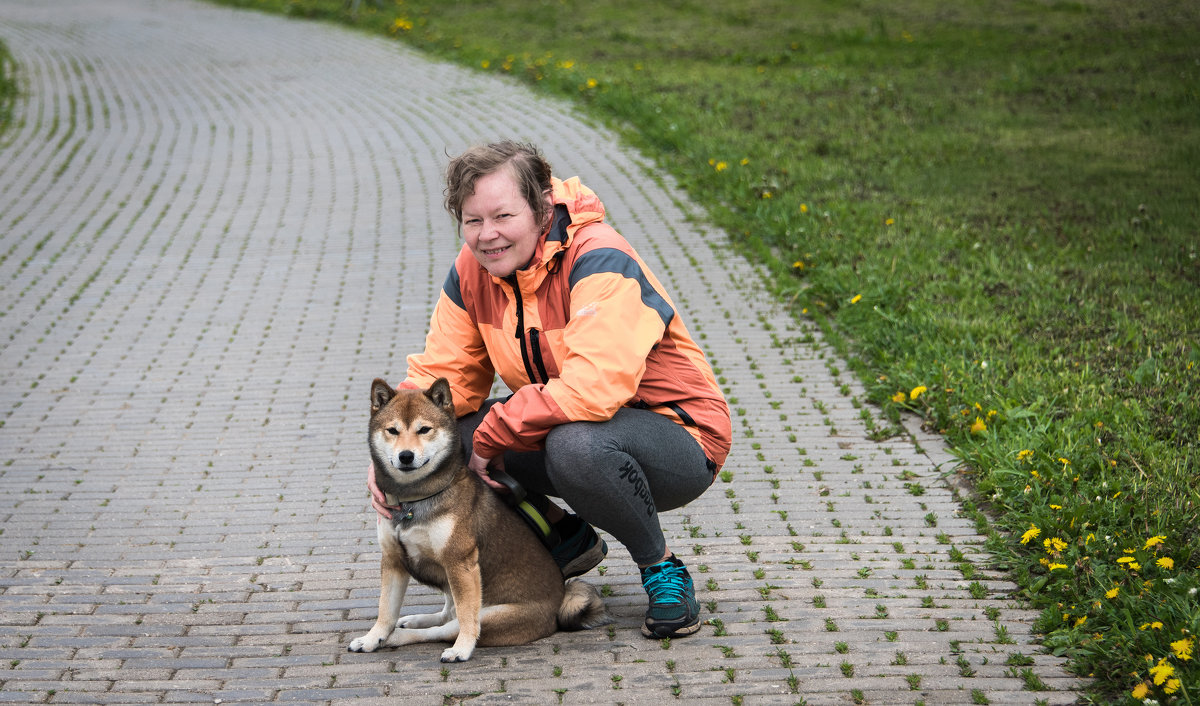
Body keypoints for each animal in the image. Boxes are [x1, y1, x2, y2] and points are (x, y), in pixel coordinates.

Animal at [348, 377, 609, 657]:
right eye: (393, 431)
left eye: (424, 430)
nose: (405, 456)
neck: (413, 500)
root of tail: (558, 607)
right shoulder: (393, 559)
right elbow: (385, 609)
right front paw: (372, 638)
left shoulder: (460, 562)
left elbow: (465, 616)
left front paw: (462, 648)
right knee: (446, 614)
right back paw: (411, 622)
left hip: (491, 614)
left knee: (448, 626)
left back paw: (406, 637)